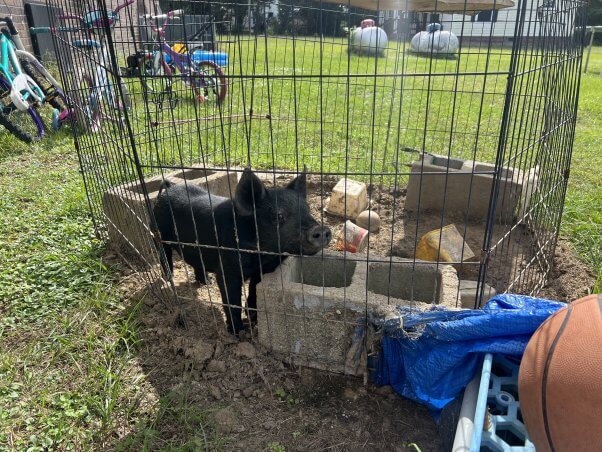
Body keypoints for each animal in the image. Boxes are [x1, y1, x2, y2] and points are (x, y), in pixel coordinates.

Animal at [150, 168, 328, 334]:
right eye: (278, 216)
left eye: (307, 209)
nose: (321, 229)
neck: (261, 256)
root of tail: (169, 188)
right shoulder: (228, 269)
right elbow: (232, 300)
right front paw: (238, 332)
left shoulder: (263, 270)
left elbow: (254, 291)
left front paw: (254, 318)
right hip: (157, 234)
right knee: (164, 257)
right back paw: (169, 280)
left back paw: (206, 282)